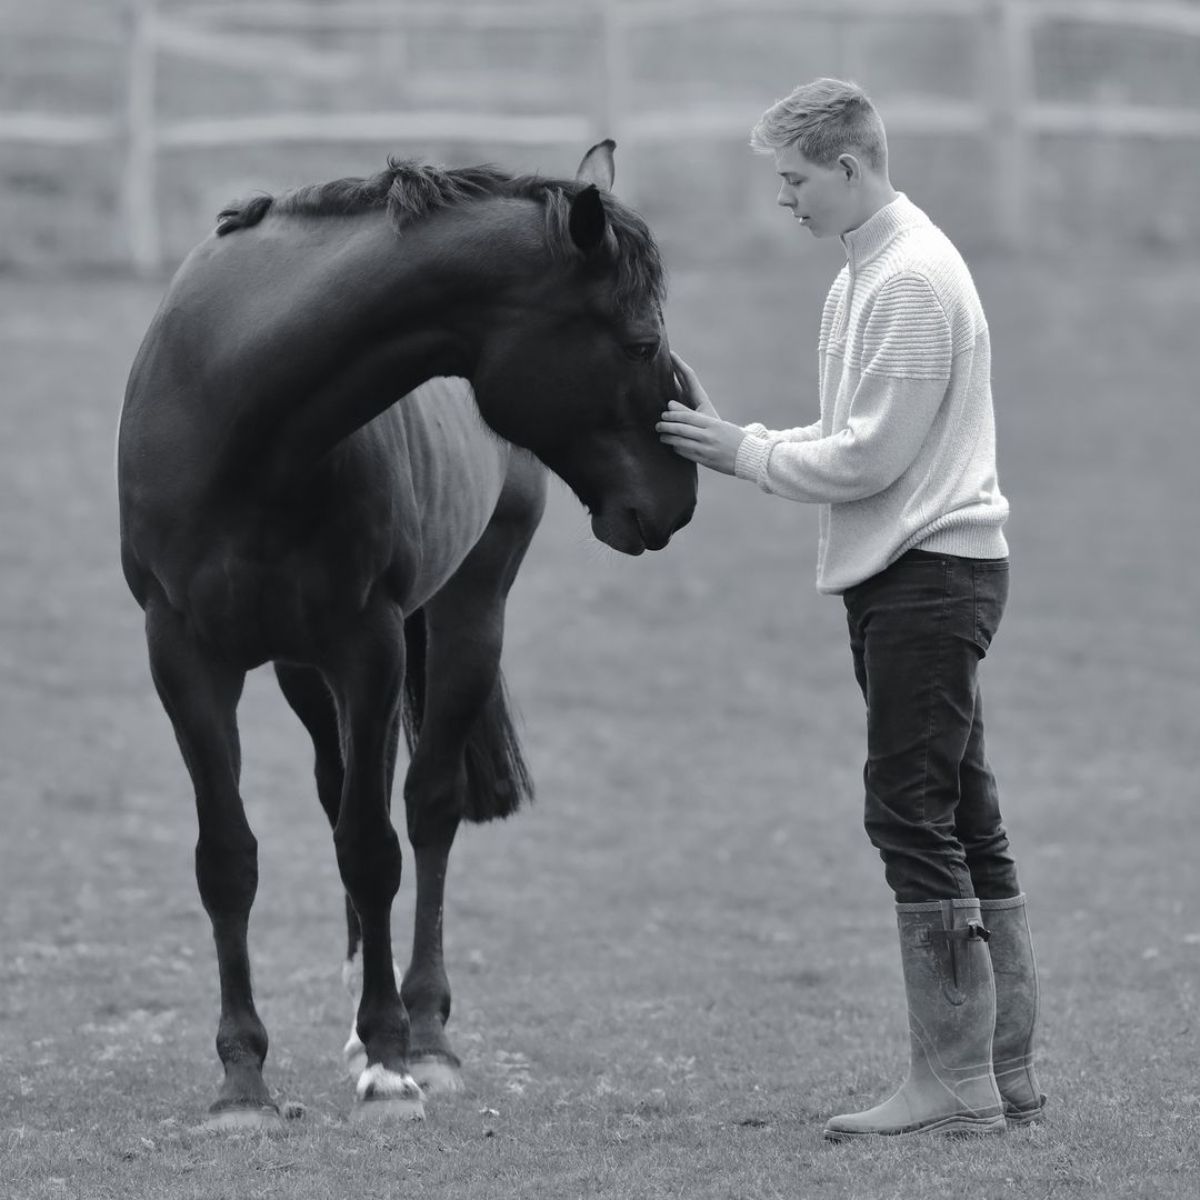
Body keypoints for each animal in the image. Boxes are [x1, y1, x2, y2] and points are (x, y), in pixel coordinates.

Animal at [117, 140, 700, 1123]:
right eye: (639, 343)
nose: (680, 500)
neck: (237, 409)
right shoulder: (184, 658)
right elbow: (228, 858)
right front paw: (243, 1080)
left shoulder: (372, 650)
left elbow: (374, 848)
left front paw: (391, 1063)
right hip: (303, 671)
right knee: (338, 792)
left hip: (467, 615)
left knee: (427, 810)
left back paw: (421, 1032)